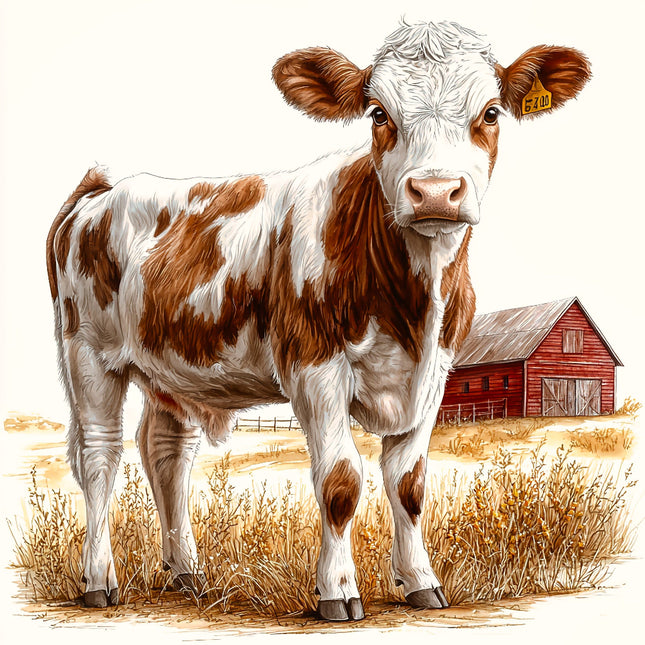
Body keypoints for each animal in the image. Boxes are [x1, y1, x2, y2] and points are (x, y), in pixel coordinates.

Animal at [46, 20, 590, 621]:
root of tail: (100, 190)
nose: (435, 192)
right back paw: (99, 580)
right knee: (100, 457)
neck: (412, 305)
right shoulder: (315, 365)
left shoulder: (435, 373)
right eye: (378, 113)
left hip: (173, 367)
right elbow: (340, 480)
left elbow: (410, 486)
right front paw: (338, 590)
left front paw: (421, 583)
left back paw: (187, 575)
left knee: (167, 453)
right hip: (88, 353)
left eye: (491, 112)